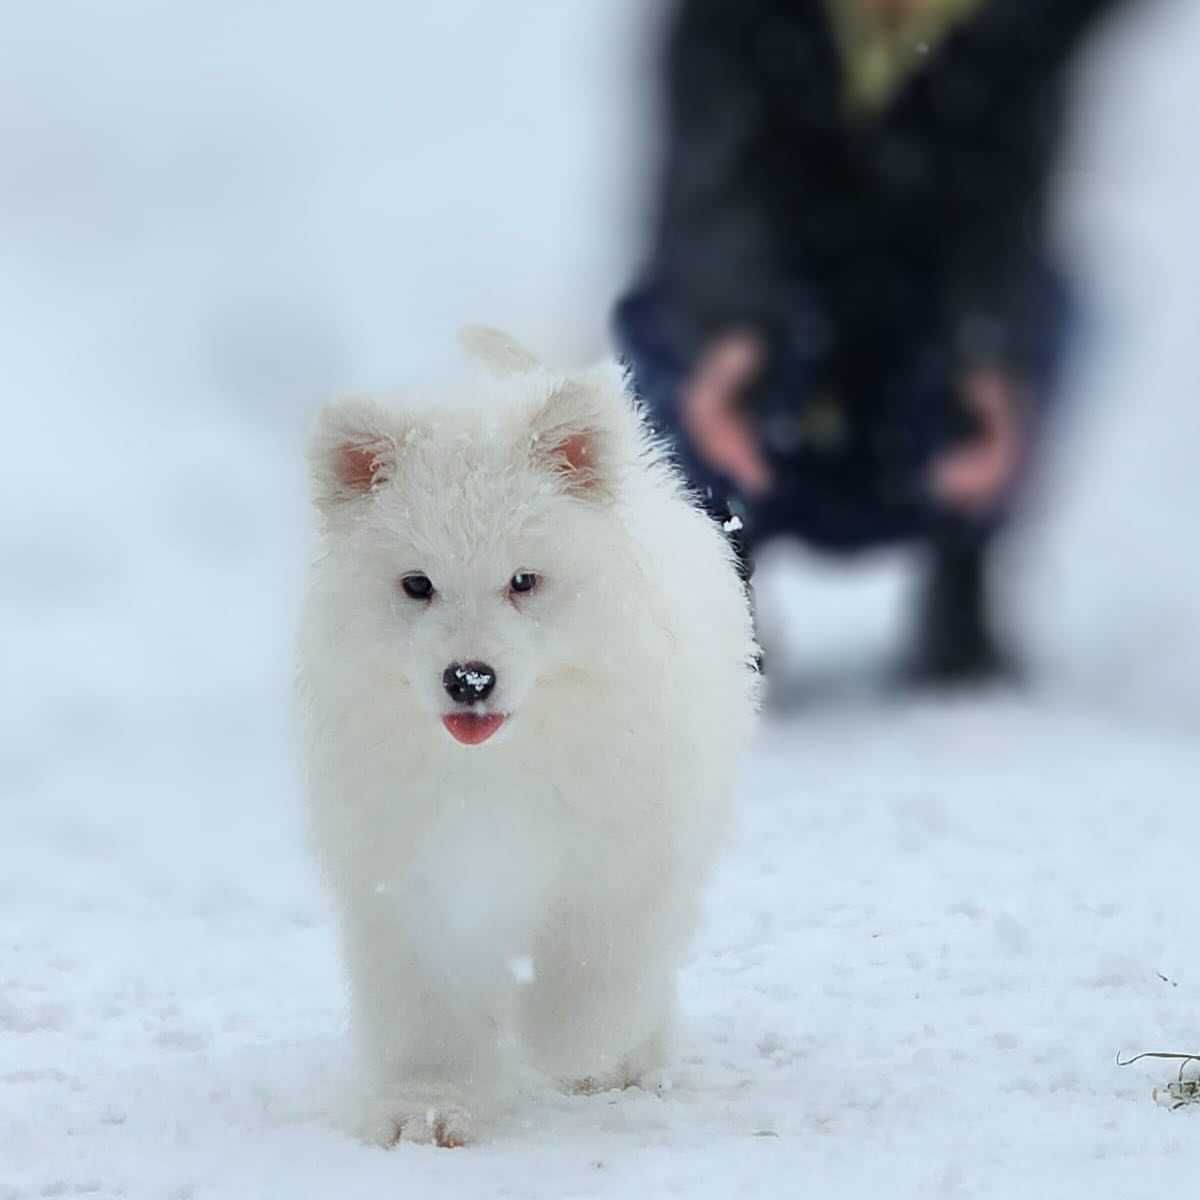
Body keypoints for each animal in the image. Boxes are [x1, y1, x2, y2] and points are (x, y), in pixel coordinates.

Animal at [295, 326, 753, 1142]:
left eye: (523, 582)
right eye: (417, 585)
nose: (469, 678)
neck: (499, 770)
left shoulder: (623, 859)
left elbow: (595, 979)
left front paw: (568, 1047)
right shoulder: (412, 880)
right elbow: (430, 1010)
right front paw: (430, 1105)